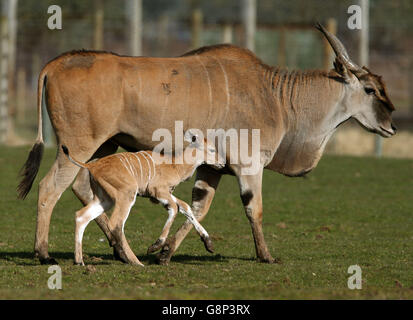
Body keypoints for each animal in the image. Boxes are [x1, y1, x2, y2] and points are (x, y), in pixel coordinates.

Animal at [17, 23, 394, 264]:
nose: (391, 124)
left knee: (83, 187)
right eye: (370, 89)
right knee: (51, 187)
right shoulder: (248, 165)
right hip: (78, 145)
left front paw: (167, 252)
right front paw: (266, 256)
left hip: (103, 149)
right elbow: (254, 209)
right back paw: (44, 253)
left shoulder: (212, 169)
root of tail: (55, 63)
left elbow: (196, 207)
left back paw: (117, 248)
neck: (275, 95)